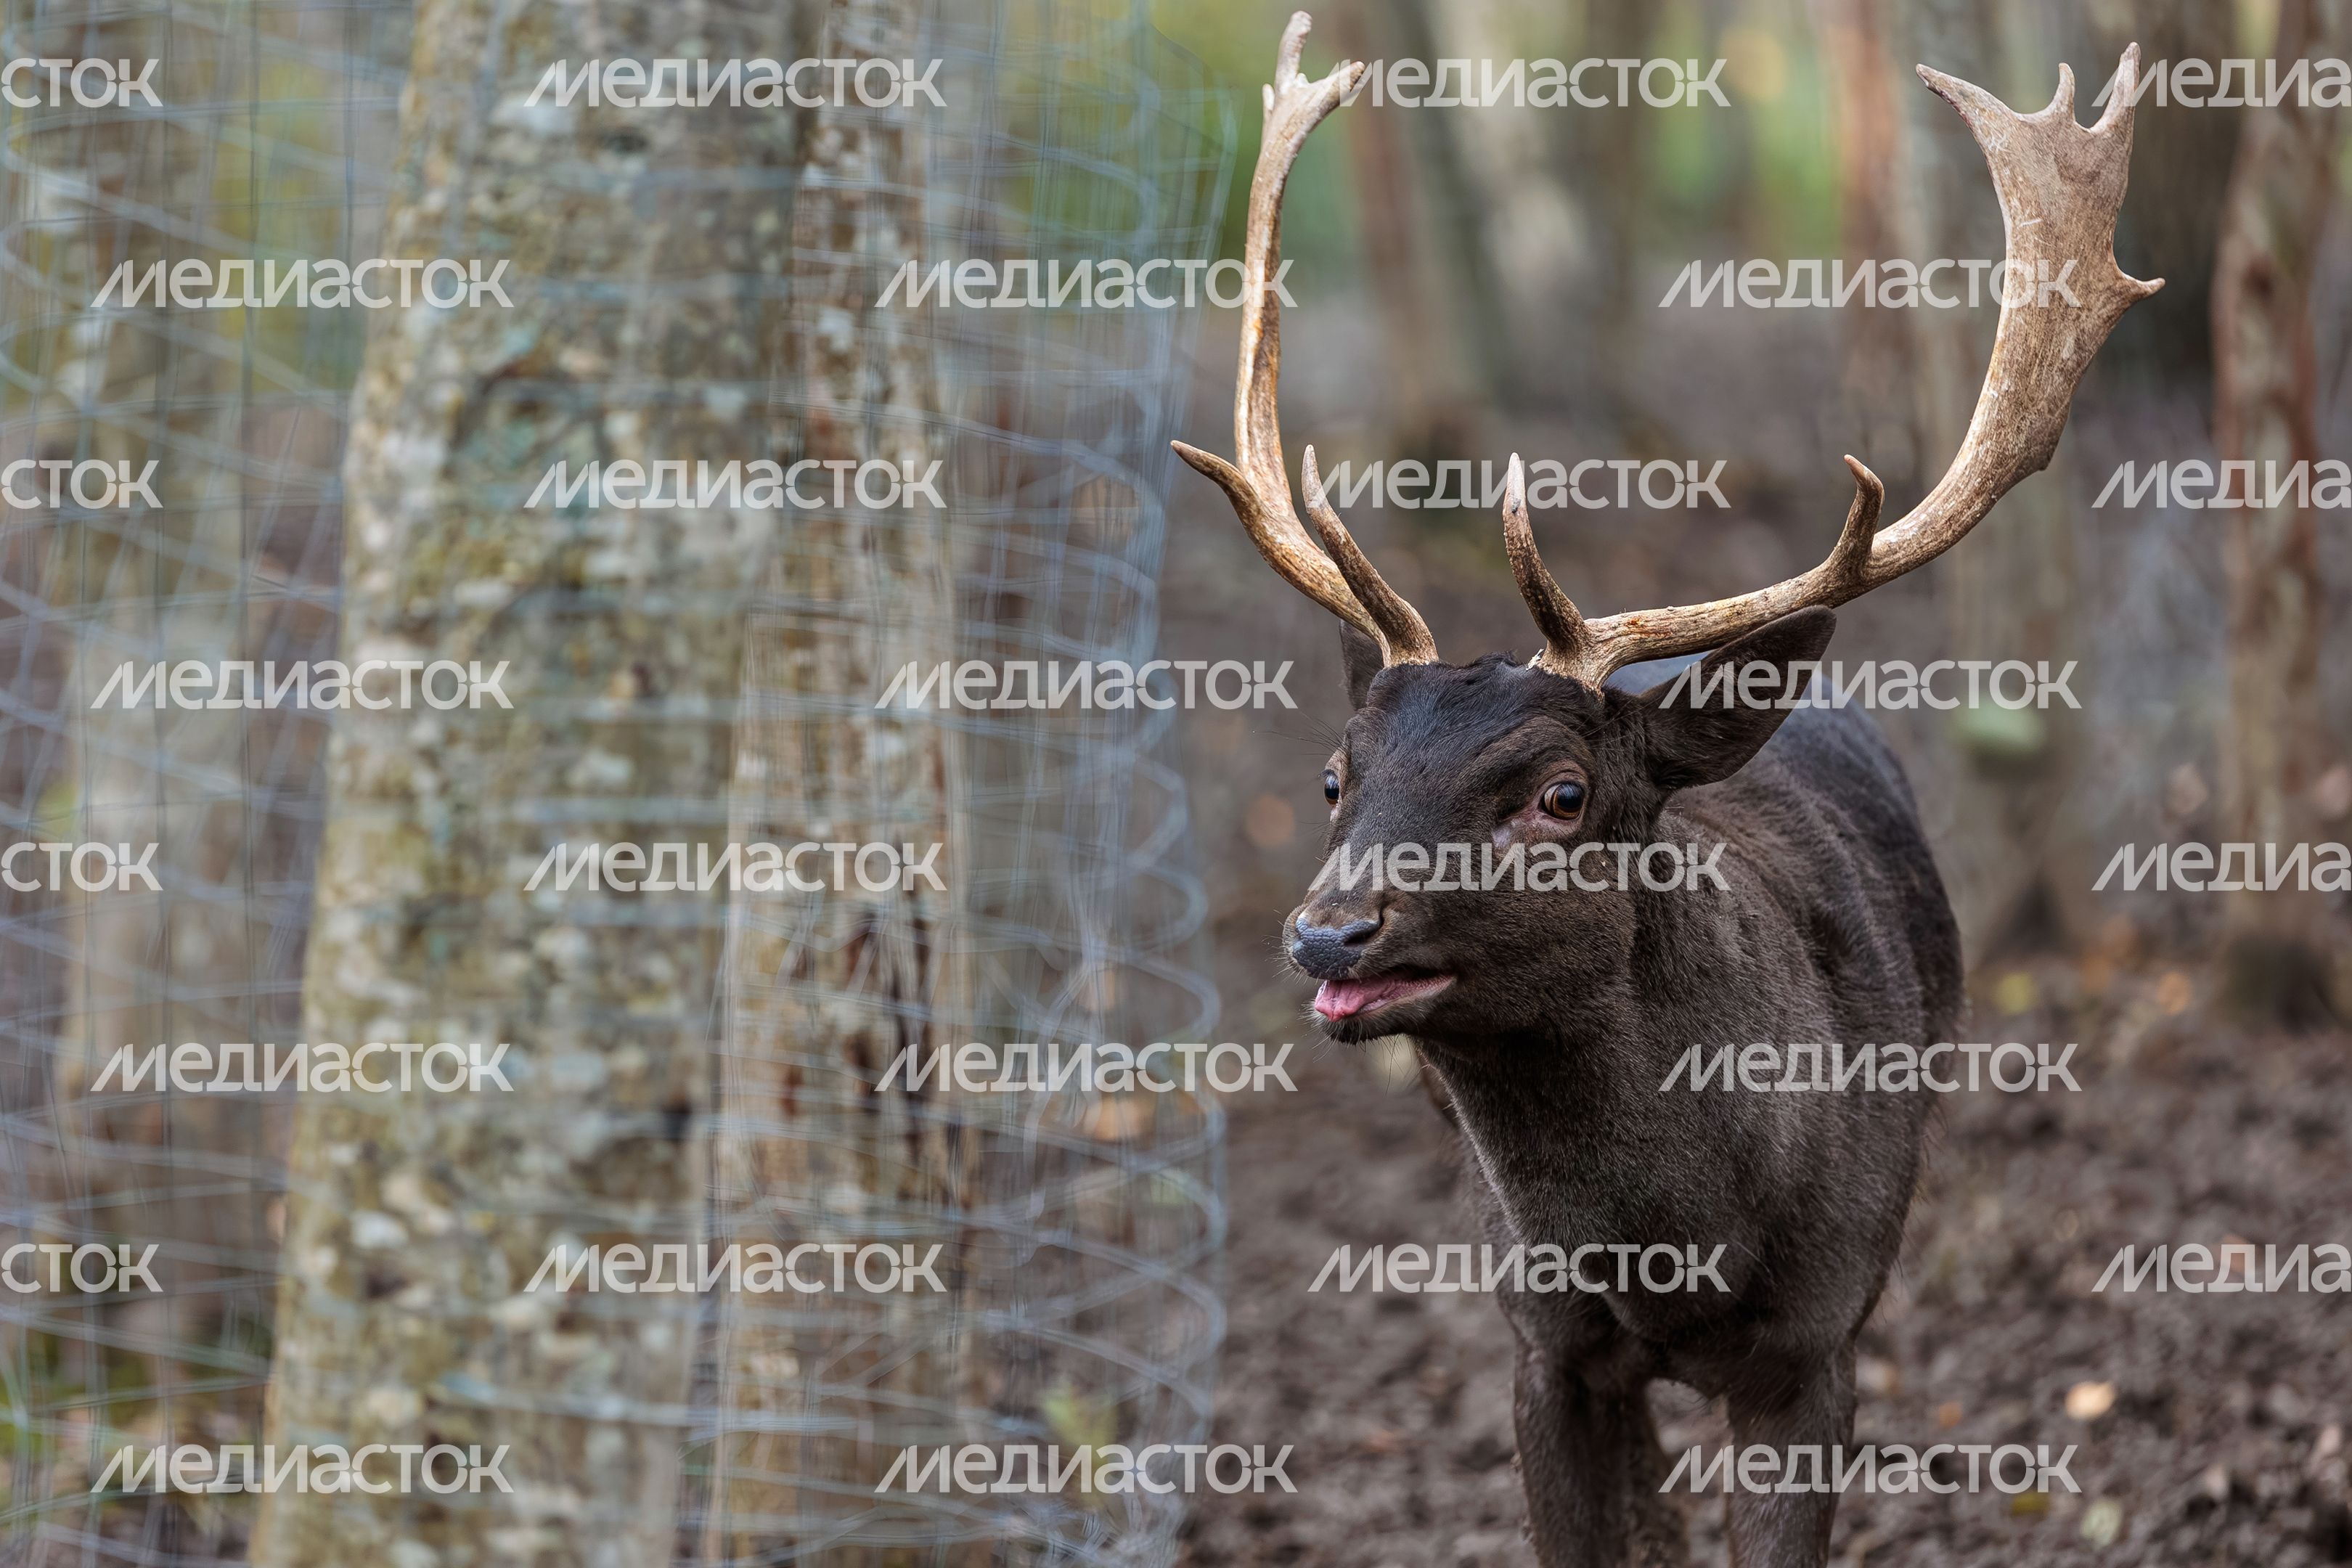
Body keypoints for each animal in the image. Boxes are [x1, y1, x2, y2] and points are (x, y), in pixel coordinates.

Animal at [1174, 15, 2158, 1567]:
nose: (1331, 930)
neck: (1682, 1238)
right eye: (1332, 775)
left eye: (1564, 795)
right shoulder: (1540, 1345)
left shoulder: (1820, 1344)